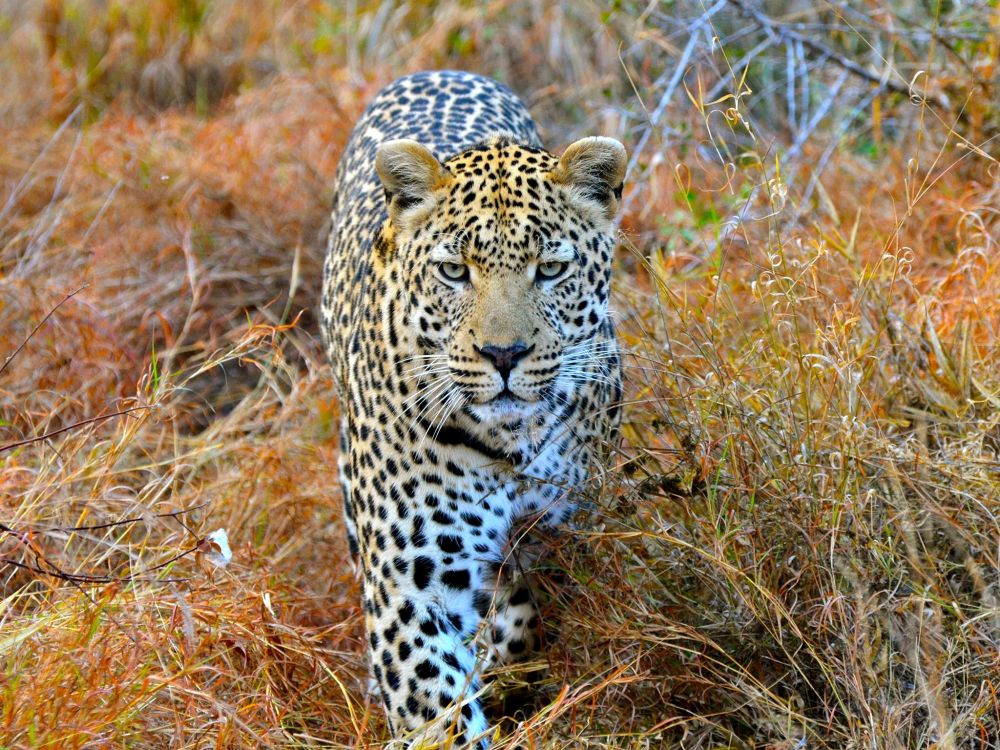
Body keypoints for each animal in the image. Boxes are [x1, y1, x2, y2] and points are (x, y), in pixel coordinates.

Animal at [320, 70, 626, 748]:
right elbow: (436, 708)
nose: (503, 354)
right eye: (454, 271)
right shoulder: (411, 587)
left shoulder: (573, 528)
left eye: (551, 268)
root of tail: (436, 71)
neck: (511, 441)